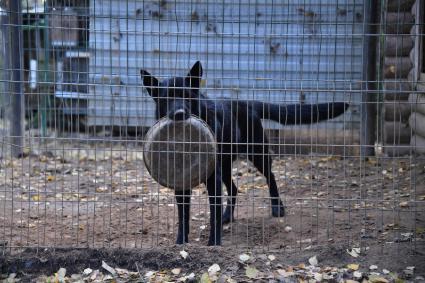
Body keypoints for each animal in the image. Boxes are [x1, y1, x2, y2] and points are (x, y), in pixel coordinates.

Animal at [141, 62, 346, 246]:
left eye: (187, 96)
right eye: (166, 99)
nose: (179, 113)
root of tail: (246, 103)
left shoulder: (213, 178)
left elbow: (213, 213)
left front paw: (214, 243)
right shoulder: (180, 180)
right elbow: (183, 216)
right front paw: (180, 243)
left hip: (257, 155)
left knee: (271, 176)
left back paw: (277, 208)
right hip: (225, 165)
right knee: (233, 189)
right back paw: (227, 216)